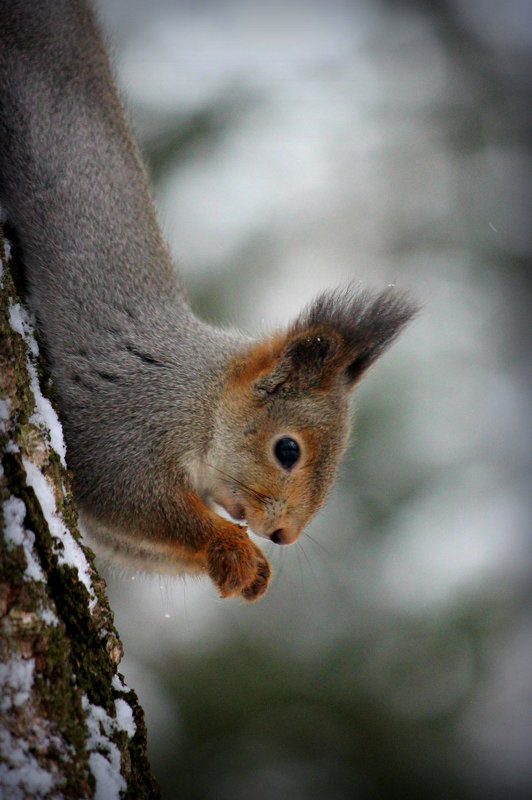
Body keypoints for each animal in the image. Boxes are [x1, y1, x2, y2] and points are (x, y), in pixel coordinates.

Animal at [0, 1, 416, 600]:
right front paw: (234, 547)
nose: (284, 536)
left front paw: (251, 572)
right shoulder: (127, 423)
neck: (202, 398)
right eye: (287, 450)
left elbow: (130, 538)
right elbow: (138, 500)